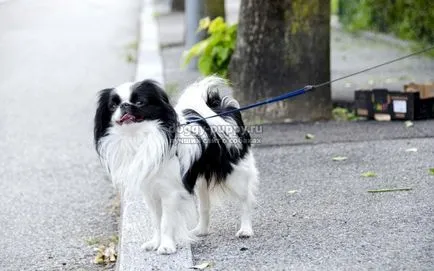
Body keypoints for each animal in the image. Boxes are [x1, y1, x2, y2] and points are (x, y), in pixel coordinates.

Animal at [93, 76, 258, 255]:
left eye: (139, 102)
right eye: (113, 106)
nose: (124, 105)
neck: (138, 138)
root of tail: (222, 111)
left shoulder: (170, 193)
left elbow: (166, 222)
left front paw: (166, 246)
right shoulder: (150, 193)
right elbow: (156, 221)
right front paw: (155, 243)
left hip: (236, 176)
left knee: (246, 201)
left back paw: (246, 230)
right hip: (201, 183)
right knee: (204, 206)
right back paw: (201, 230)